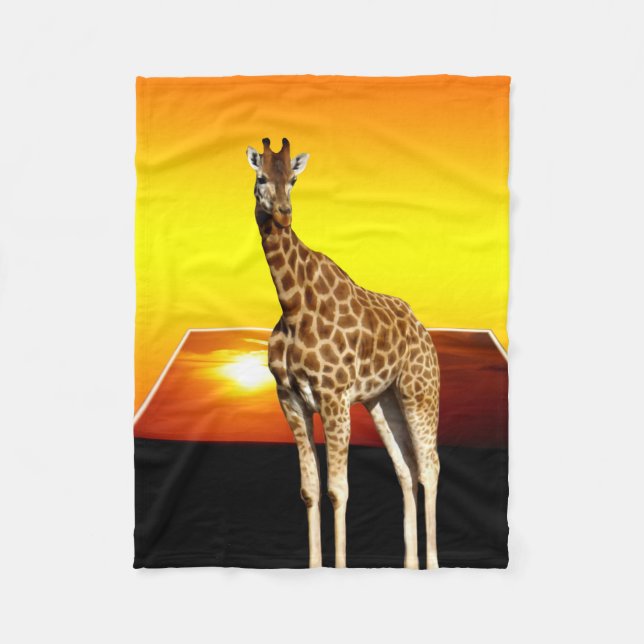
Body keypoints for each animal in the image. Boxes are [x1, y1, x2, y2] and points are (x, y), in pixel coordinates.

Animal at [246, 137, 440, 569]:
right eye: (261, 177)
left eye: (294, 180)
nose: (282, 215)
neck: (293, 305)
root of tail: (423, 329)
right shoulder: (290, 398)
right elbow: (310, 490)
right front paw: (316, 565)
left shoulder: (333, 397)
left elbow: (338, 490)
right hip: (383, 402)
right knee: (406, 469)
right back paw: (410, 565)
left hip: (420, 393)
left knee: (430, 466)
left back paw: (434, 564)